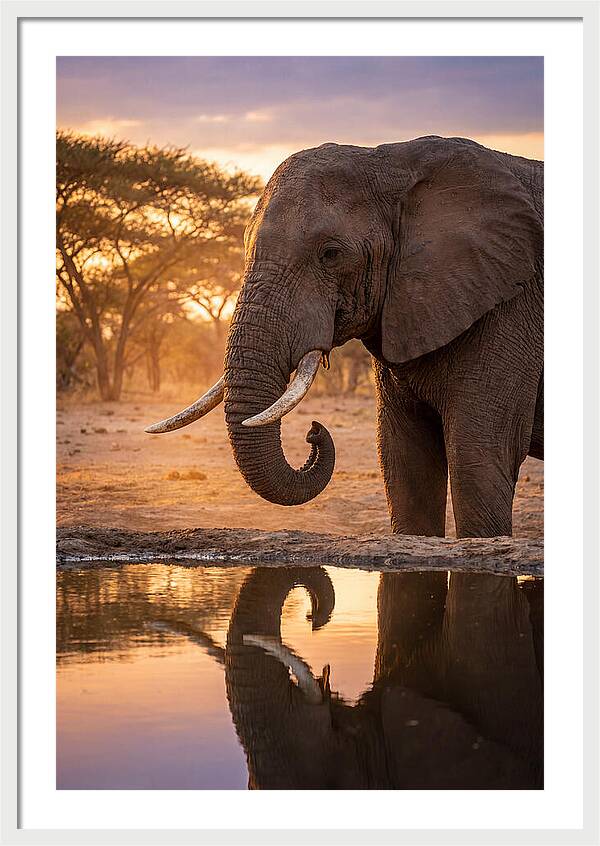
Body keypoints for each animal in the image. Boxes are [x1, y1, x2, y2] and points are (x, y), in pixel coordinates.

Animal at [147, 135, 543, 538]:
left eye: (331, 254)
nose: (313, 431)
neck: (395, 162)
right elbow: (404, 462)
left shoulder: (510, 305)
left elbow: (478, 458)